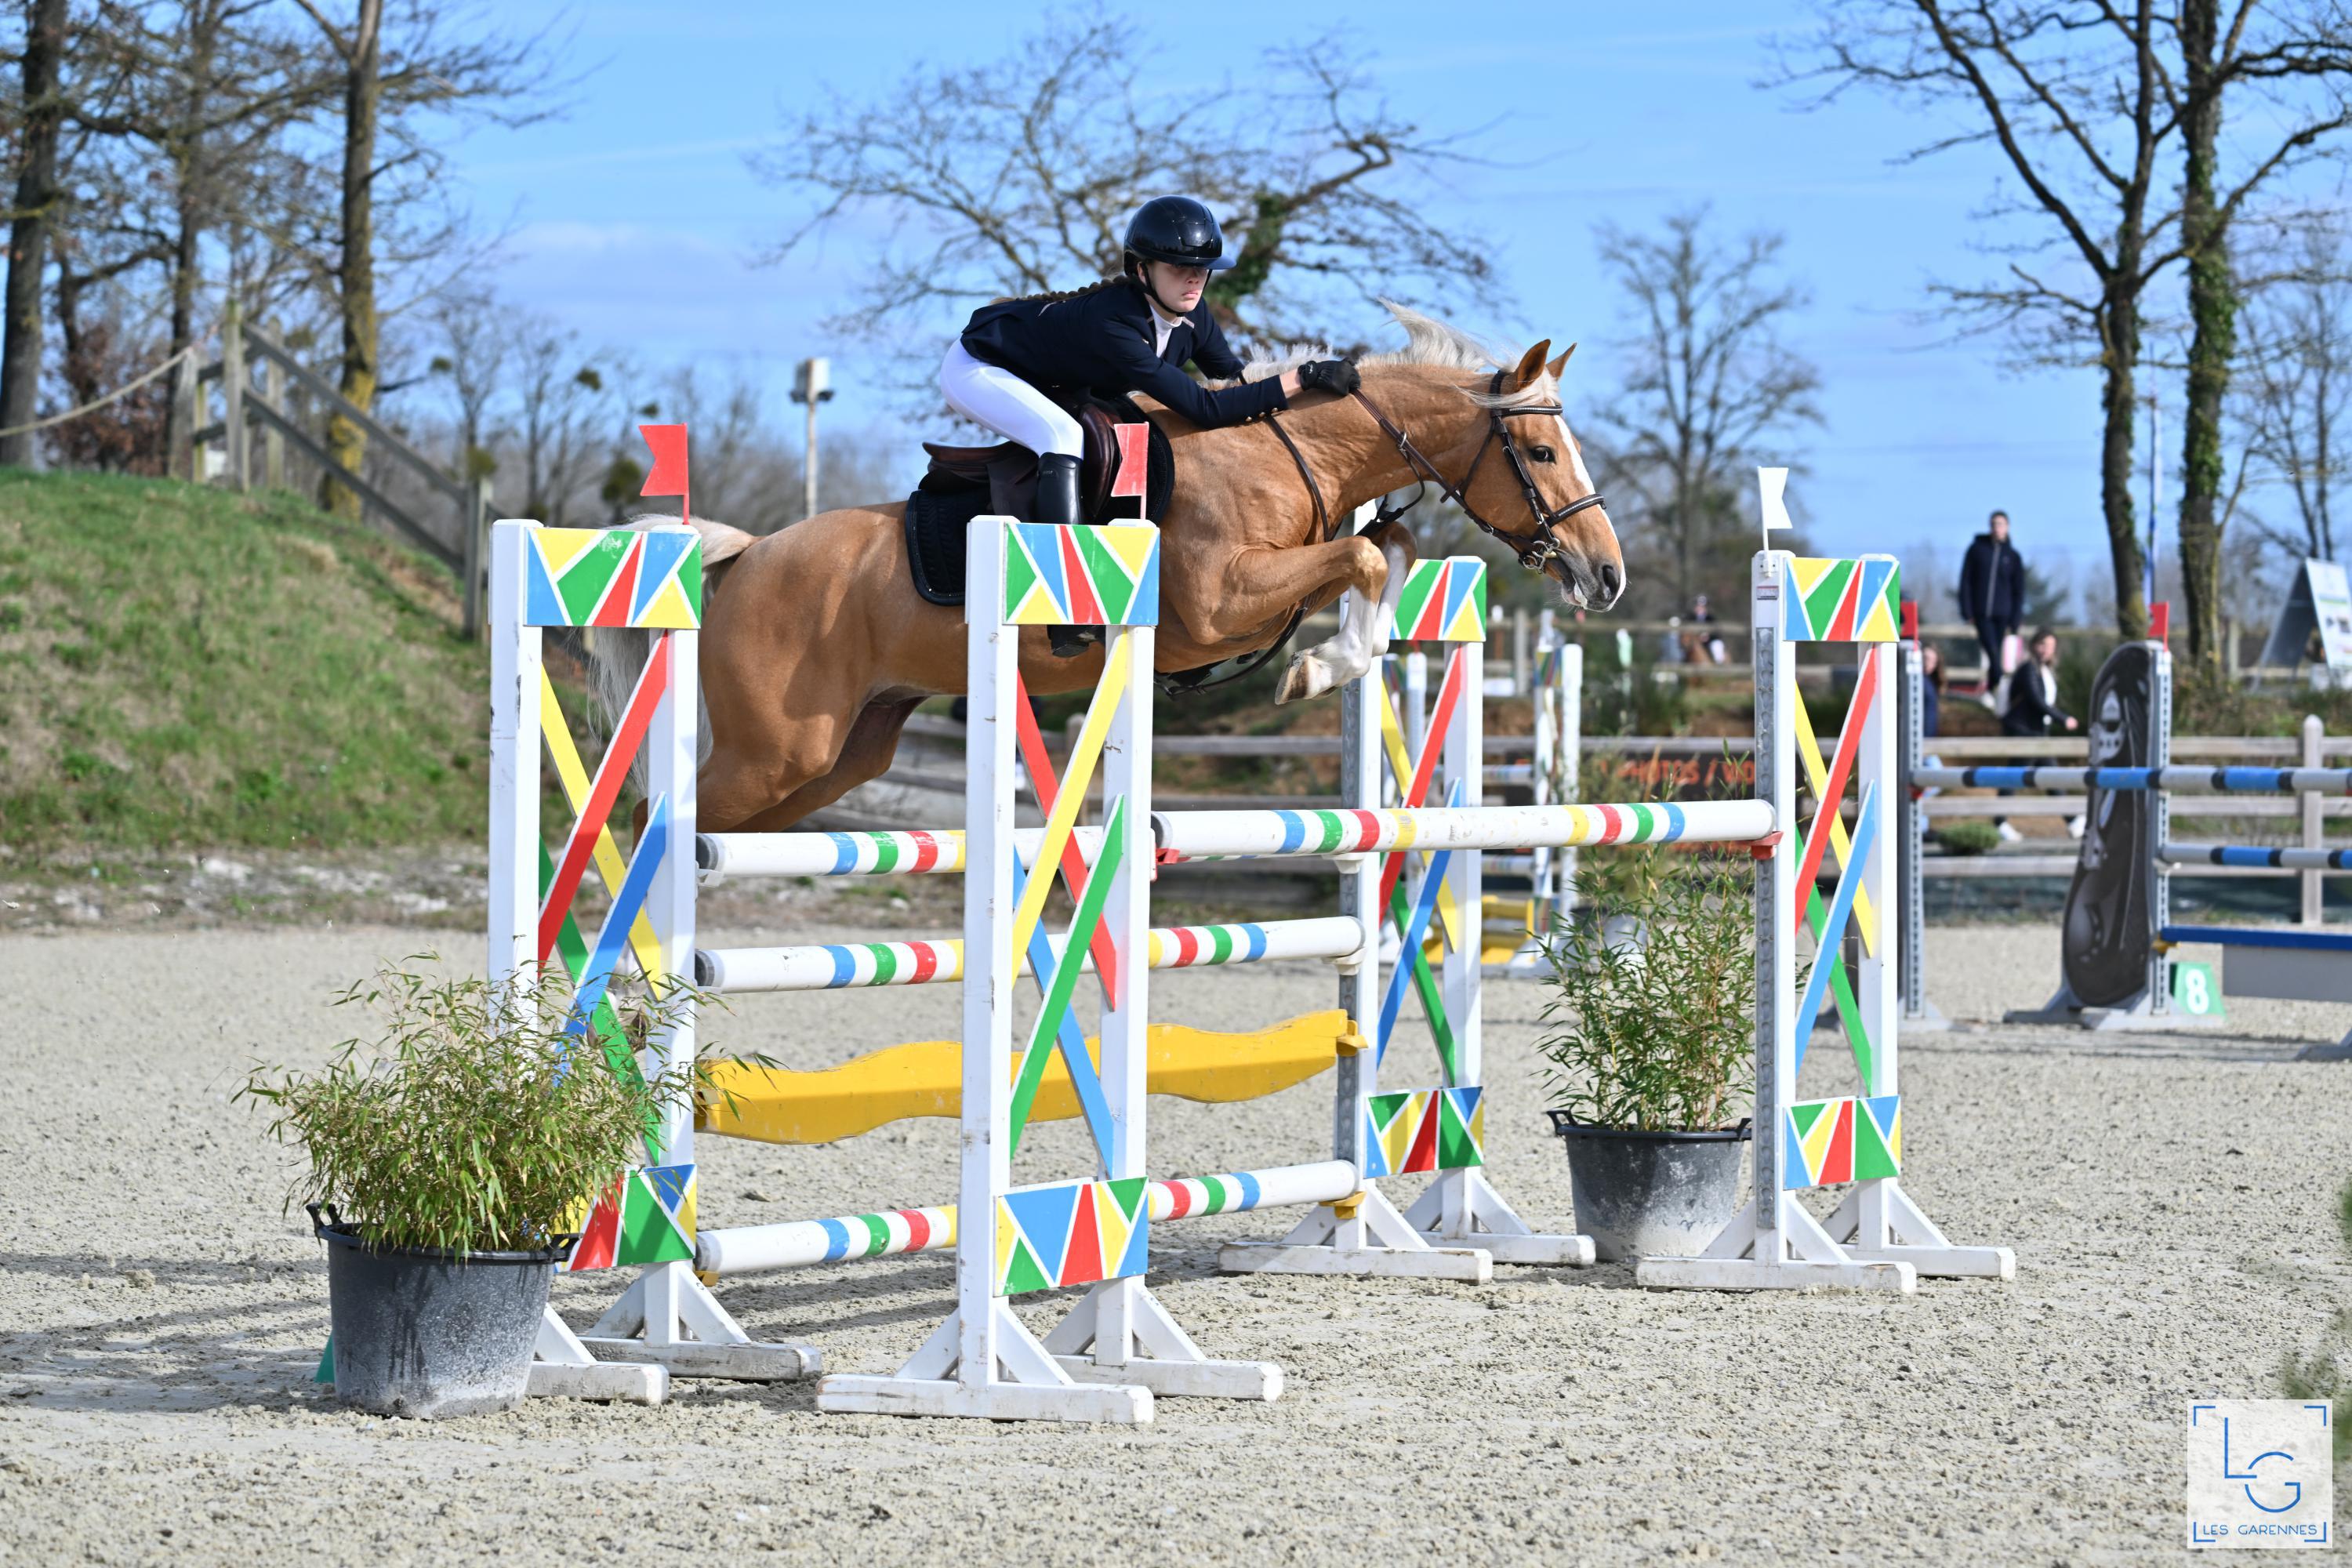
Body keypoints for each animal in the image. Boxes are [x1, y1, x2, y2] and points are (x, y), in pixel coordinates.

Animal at [593, 310, 1618, 841]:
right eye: (1539, 450)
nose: (1604, 577)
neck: (1285, 450)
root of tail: (746, 556)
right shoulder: (1218, 603)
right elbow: (1367, 554)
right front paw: (1311, 672)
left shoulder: (1274, 587)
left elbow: (1383, 557)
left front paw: (1323, 664)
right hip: (775, 753)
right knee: (647, 818)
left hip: (838, 759)